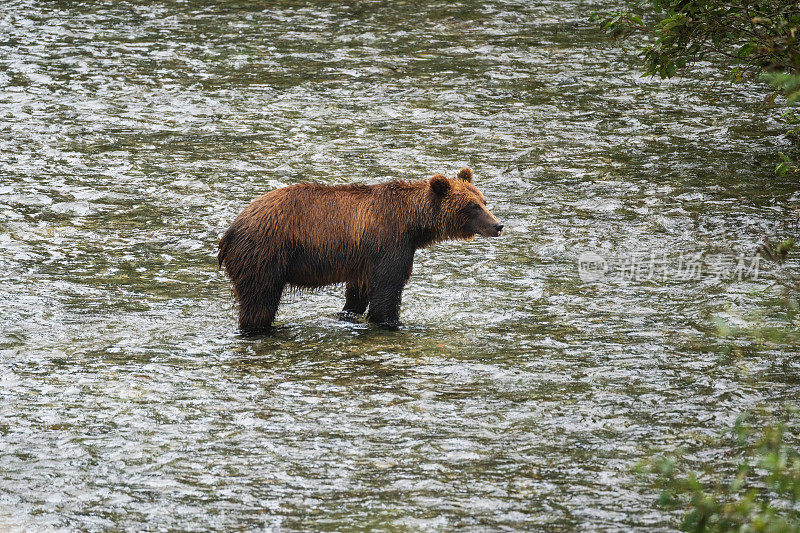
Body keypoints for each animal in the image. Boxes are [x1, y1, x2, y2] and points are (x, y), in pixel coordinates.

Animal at [217, 167, 506, 332]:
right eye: (471, 206)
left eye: (483, 200)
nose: (498, 225)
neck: (413, 225)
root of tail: (231, 229)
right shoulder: (389, 242)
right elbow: (387, 292)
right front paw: (392, 322)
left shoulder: (364, 260)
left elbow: (357, 295)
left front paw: (349, 314)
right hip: (264, 253)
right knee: (259, 300)